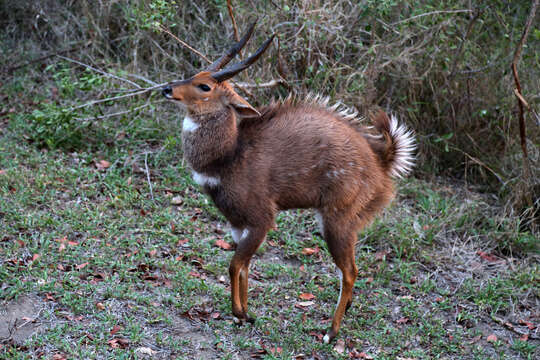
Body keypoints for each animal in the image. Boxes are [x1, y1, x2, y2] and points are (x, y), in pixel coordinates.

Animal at [160, 23, 414, 344]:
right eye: (195, 74)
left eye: (205, 86)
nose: (166, 88)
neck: (228, 156)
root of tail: (382, 162)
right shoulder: (236, 223)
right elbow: (245, 267)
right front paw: (245, 315)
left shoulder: (261, 218)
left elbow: (234, 265)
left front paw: (239, 313)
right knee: (351, 270)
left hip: (336, 219)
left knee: (350, 271)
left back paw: (331, 333)